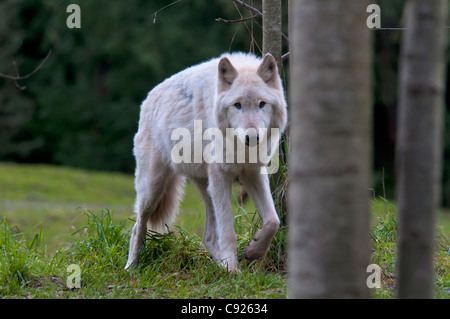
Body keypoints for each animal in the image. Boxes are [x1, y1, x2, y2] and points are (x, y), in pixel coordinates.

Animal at [125, 52, 288, 272]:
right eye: (237, 105)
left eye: (262, 104)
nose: (252, 137)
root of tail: (148, 98)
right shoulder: (222, 177)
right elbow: (228, 231)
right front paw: (233, 269)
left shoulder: (252, 173)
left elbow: (273, 221)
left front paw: (254, 252)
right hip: (153, 189)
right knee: (137, 227)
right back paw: (131, 267)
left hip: (207, 186)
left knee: (208, 237)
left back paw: (221, 265)